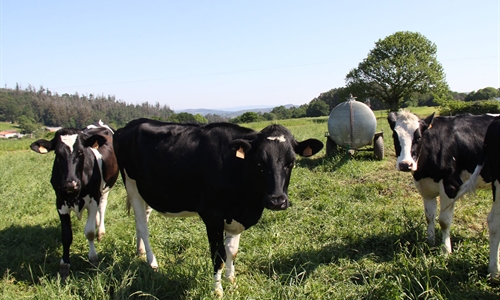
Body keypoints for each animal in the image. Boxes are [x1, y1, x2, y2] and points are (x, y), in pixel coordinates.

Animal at [29, 122, 118, 278]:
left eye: (81, 152)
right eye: (57, 154)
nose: (71, 184)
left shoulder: (93, 199)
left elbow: (89, 232)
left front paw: (93, 258)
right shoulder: (60, 203)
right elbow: (66, 236)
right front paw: (64, 265)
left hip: (105, 189)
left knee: (102, 207)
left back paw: (101, 232)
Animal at [113, 118, 324, 296]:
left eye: (291, 162)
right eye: (260, 162)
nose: (277, 201)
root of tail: (131, 124)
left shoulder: (236, 215)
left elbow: (232, 251)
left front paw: (232, 282)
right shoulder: (212, 214)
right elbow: (219, 255)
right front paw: (218, 291)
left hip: (146, 191)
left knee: (142, 221)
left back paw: (140, 253)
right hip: (131, 185)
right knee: (142, 226)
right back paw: (152, 263)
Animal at [388, 111, 494, 254]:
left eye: (418, 137)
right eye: (395, 136)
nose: (405, 164)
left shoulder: (451, 185)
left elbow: (444, 221)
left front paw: (446, 250)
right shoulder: (426, 188)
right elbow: (429, 217)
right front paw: (429, 242)